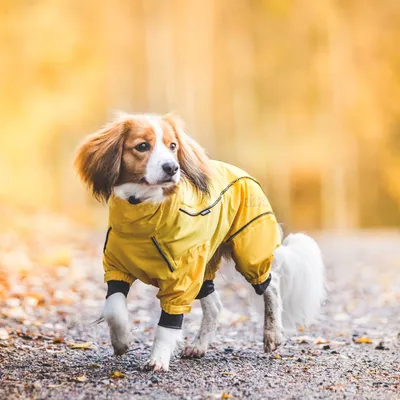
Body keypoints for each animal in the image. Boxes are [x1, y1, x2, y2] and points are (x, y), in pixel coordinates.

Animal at [73, 111, 326, 372]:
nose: (172, 167)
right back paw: (199, 346)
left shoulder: (181, 280)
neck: (143, 213)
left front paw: (158, 359)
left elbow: (168, 324)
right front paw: (121, 341)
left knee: (270, 286)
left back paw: (273, 334)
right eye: (142, 146)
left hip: (248, 252)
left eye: (173, 146)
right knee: (215, 306)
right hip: (204, 265)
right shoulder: (116, 269)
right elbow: (114, 308)